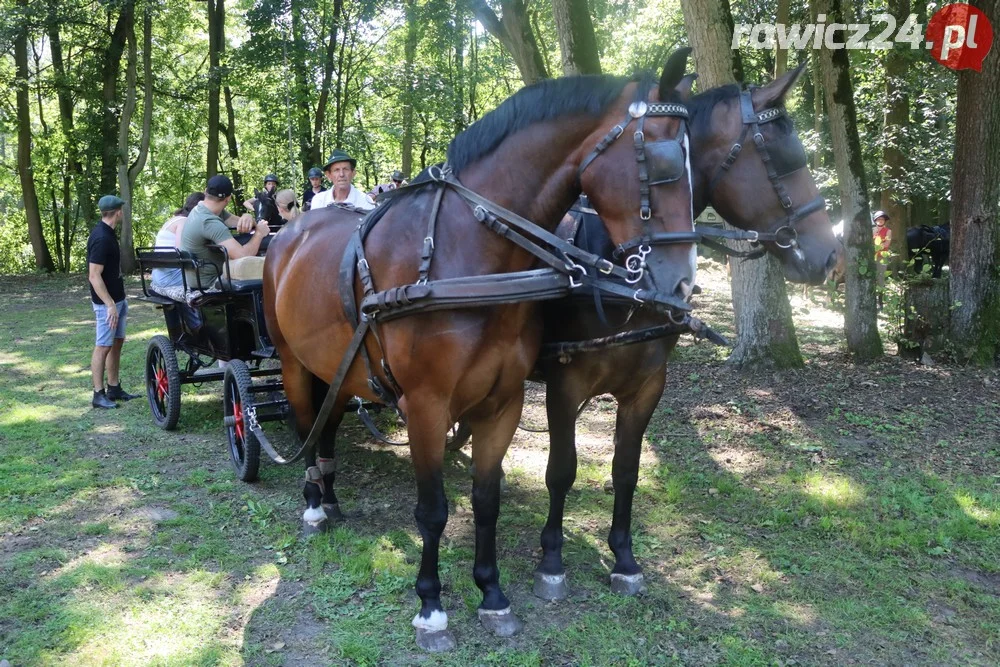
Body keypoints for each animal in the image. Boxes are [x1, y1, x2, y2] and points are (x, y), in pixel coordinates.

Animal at [268, 48, 704, 652]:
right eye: (663, 163)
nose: (681, 284)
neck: (470, 256)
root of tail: (291, 232)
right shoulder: (426, 406)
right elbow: (433, 511)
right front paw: (431, 606)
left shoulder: (503, 402)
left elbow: (486, 500)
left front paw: (492, 594)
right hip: (292, 362)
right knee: (305, 422)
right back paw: (313, 503)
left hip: (338, 367)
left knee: (327, 423)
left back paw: (329, 494)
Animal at [532, 66, 844, 600]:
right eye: (784, 158)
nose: (829, 256)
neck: (622, 271)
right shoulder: (563, 382)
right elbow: (562, 470)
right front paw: (552, 558)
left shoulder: (646, 387)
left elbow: (626, 469)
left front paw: (624, 557)